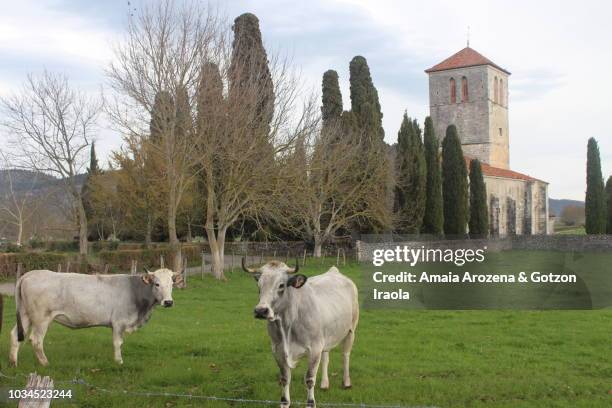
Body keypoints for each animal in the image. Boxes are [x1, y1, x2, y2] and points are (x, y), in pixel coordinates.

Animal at [8, 268, 182, 366]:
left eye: (172, 284)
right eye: (157, 284)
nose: (168, 302)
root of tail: (29, 274)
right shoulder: (119, 322)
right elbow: (118, 343)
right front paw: (119, 362)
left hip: (25, 315)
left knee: (15, 335)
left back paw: (13, 362)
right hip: (41, 319)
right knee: (36, 340)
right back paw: (45, 363)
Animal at [243, 258, 358, 408]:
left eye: (281, 285)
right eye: (259, 285)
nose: (261, 311)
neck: (287, 324)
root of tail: (334, 271)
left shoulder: (314, 349)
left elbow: (309, 379)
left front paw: (311, 403)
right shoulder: (277, 350)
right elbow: (285, 379)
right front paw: (284, 403)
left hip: (351, 330)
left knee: (345, 355)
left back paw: (346, 382)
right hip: (326, 337)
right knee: (326, 356)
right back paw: (324, 383)